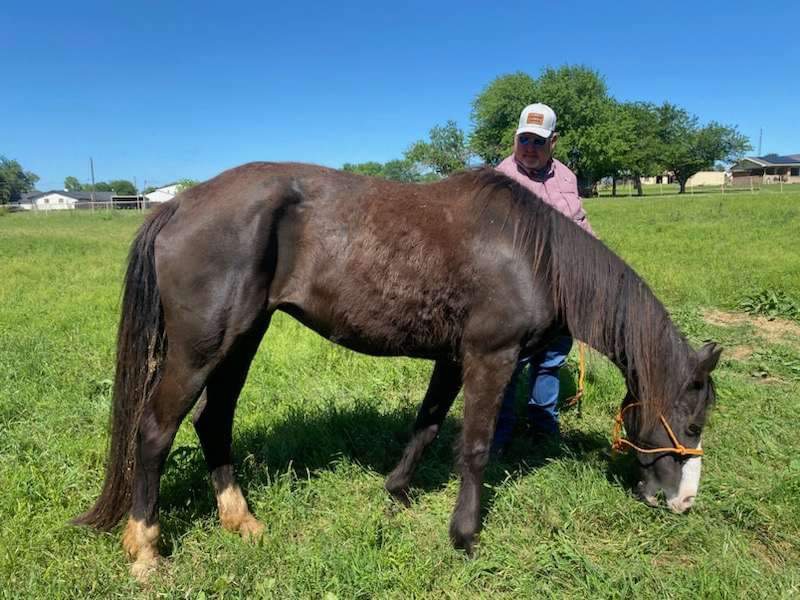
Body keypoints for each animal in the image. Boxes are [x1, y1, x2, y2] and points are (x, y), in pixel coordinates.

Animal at [75, 162, 720, 580]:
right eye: (692, 422)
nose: (683, 502)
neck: (532, 254)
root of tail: (178, 204)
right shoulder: (491, 356)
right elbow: (474, 447)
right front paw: (465, 536)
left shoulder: (452, 358)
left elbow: (427, 426)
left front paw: (397, 491)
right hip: (199, 350)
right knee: (155, 431)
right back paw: (146, 549)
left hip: (242, 340)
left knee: (214, 421)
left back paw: (242, 521)